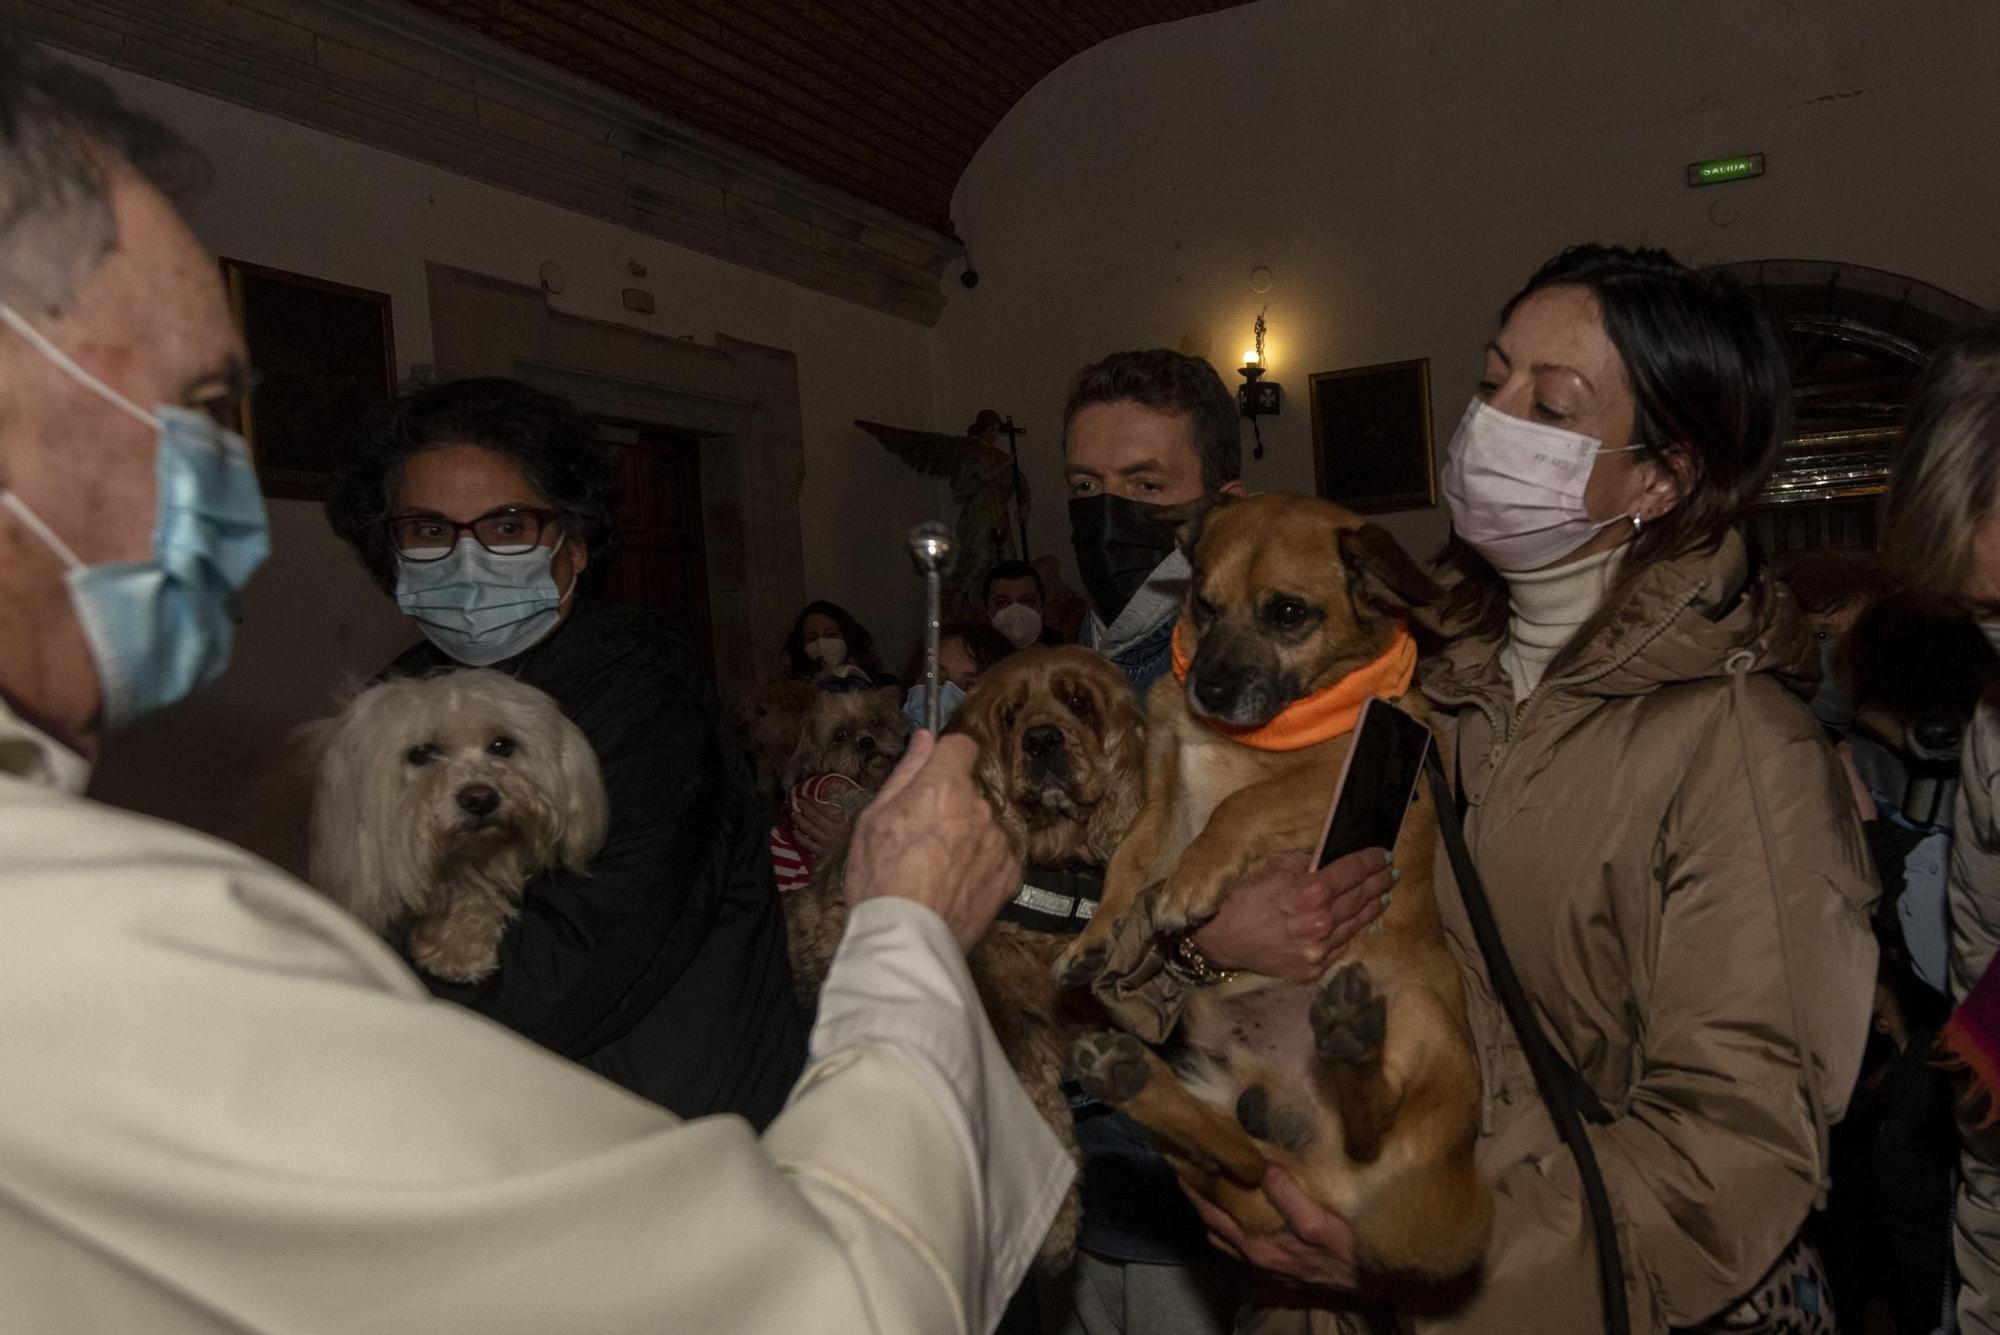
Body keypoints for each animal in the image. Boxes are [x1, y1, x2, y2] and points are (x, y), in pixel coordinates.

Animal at [788, 647, 1152, 1271]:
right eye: (1009, 717)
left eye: (1080, 702)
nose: (1042, 740)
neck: (1057, 869)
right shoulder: (1003, 1014)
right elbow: (1038, 1109)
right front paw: (1053, 1226)